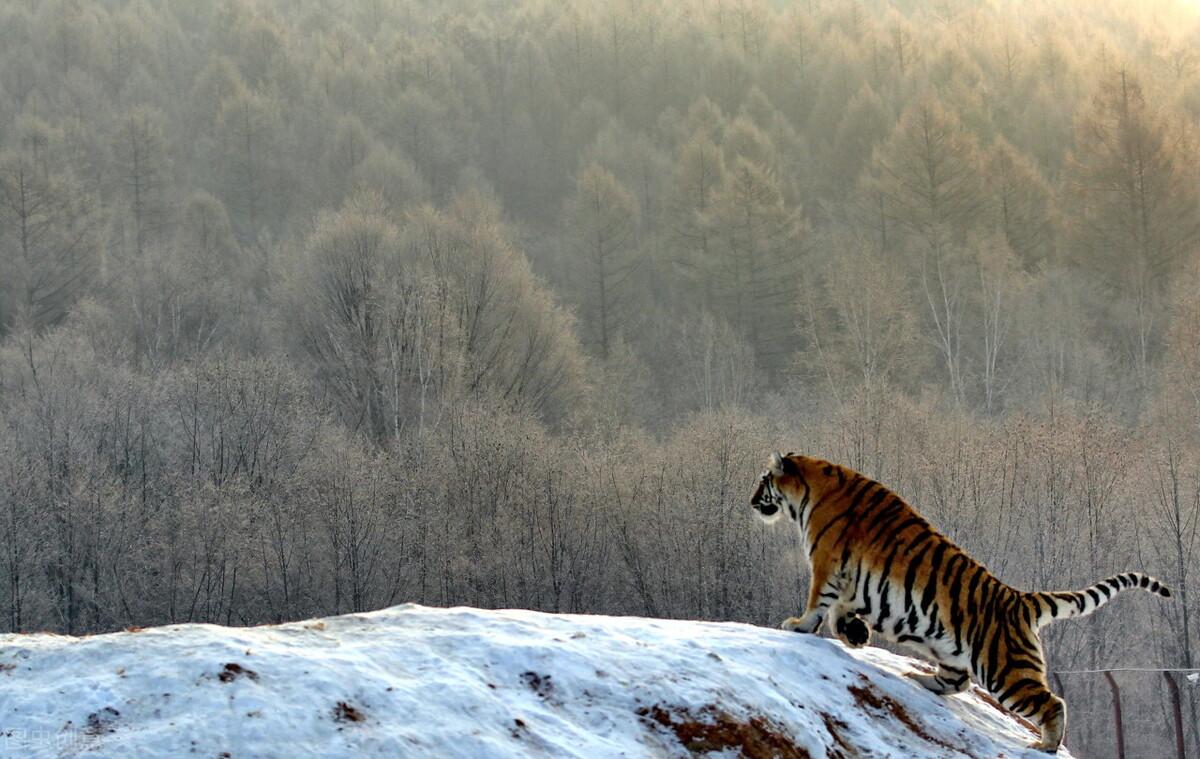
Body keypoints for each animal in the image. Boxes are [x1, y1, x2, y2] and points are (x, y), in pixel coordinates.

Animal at [748, 451, 1171, 754]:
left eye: (763, 481)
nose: (751, 502)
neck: (810, 489)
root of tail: (1022, 599)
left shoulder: (826, 561)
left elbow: (819, 601)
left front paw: (799, 626)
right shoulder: (850, 576)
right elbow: (840, 609)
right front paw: (854, 633)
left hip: (1005, 671)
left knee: (1051, 703)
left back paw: (1045, 745)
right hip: (952, 650)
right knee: (956, 681)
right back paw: (916, 677)